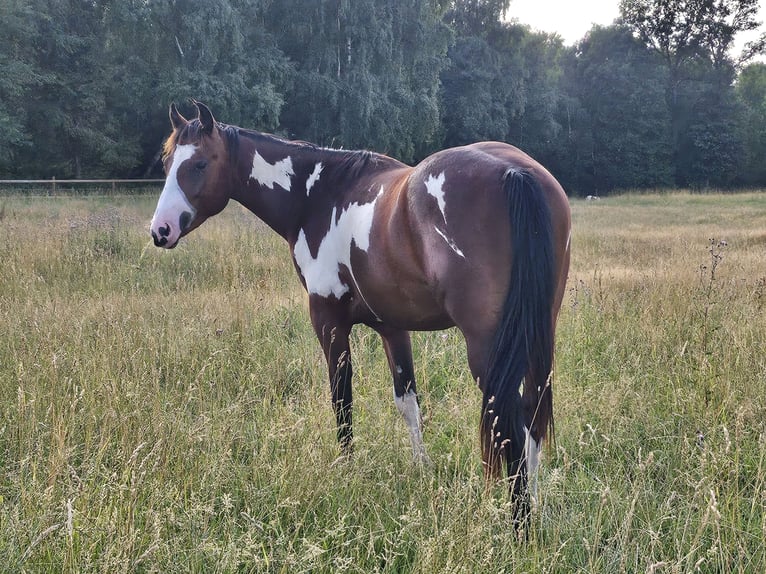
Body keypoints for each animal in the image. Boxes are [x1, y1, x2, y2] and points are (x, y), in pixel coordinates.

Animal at [150, 101, 571, 521]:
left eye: (199, 164)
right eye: (168, 162)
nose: (160, 231)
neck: (318, 196)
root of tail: (515, 172)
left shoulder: (328, 321)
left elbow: (342, 397)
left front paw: (346, 469)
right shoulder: (392, 327)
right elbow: (407, 401)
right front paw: (422, 469)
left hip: (488, 349)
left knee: (512, 424)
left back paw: (520, 521)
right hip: (538, 337)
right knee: (533, 415)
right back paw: (535, 505)